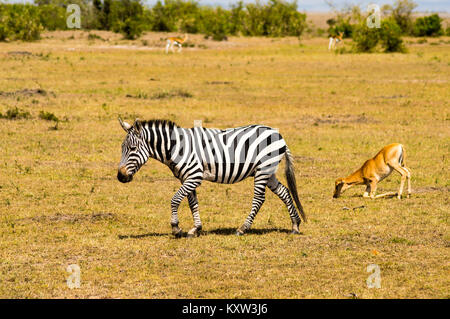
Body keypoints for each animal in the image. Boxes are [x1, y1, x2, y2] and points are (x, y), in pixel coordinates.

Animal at [117, 118, 306, 238]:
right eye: (122, 148)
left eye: (132, 149)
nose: (120, 176)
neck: (176, 147)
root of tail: (279, 135)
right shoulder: (187, 178)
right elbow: (192, 202)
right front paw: (195, 229)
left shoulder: (194, 176)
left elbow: (175, 199)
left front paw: (176, 228)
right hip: (268, 172)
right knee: (284, 192)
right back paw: (295, 225)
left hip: (263, 170)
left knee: (259, 199)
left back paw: (242, 229)